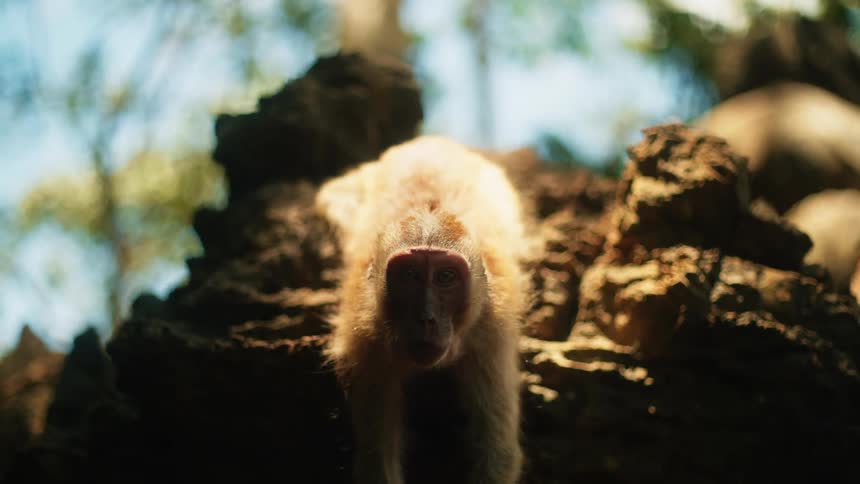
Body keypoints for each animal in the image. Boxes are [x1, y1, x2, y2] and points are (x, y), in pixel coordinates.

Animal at [315, 135, 531, 484]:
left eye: (446, 277)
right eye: (410, 276)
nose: (426, 318)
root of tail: (430, 141)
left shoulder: (491, 330)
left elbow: (498, 454)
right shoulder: (364, 338)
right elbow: (376, 463)